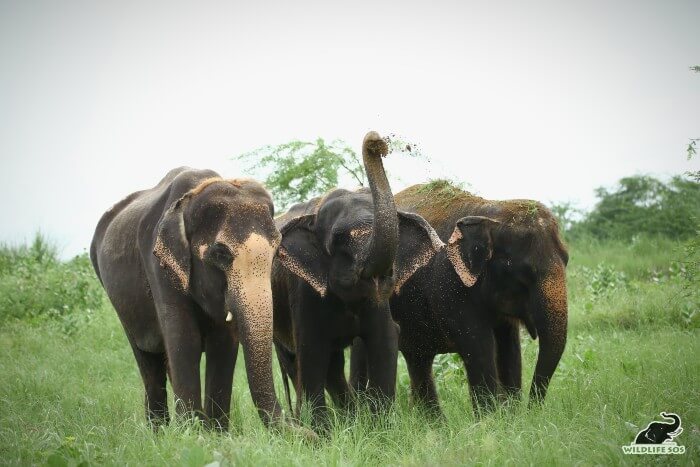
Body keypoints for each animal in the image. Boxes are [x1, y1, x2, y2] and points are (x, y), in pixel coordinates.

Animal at [91, 167, 286, 432]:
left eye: (276, 251)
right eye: (220, 253)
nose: (310, 434)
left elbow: (223, 344)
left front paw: (217, 434)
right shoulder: (159, 265)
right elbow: (186, 340)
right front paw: (192, 435)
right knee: (147, 360)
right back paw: (159, 432)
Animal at [274, 131, 442, 428]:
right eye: (339, 240)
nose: (377, 142)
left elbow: (384, 339)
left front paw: (379, 430)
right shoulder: (303, 288)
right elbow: (310, 349)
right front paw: (323, 434)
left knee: (333, 366)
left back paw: (348, 418)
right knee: (297, 362)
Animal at [350, 181, 568, 414]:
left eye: (567, 259)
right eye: (526, 272)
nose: (533, 409)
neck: (491, 213)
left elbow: (509, 347)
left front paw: (512, 415)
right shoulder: (452, 285)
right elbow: (478, 346)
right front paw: (492, 418)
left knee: (418, 358)